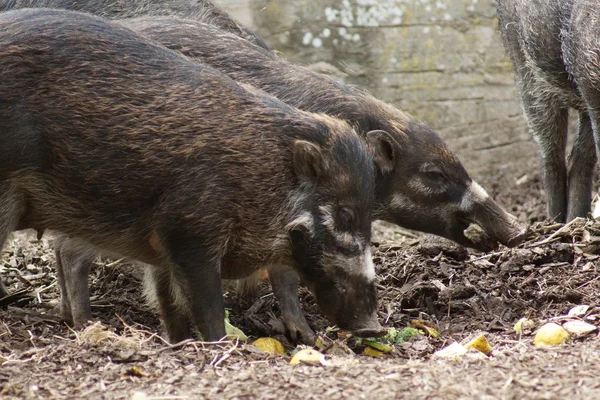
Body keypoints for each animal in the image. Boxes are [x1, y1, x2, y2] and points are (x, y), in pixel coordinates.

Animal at [0, 8, 384, 340]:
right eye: (344, 214)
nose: (374, 328)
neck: (259, 175)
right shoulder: (188, 231)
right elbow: (208, 306)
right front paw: (222, 345)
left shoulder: (160, 248)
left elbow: (171, 305)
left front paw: (180, 342)